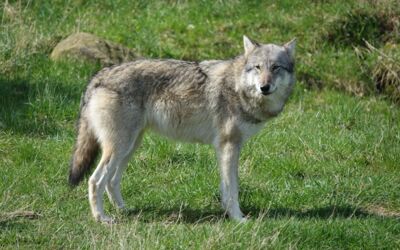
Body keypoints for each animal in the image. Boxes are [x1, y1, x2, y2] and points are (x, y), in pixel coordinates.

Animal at [69, 35, 296, 223]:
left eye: (276, 68)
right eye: (257, 67)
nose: (264, 87)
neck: (238, 87)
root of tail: (98, 76)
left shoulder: (225, 148)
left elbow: (225, 187)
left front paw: (229, 214)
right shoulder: (229, 145)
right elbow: (232, 188)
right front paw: (238, 219)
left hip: (129, 147)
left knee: (111, 181)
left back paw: (124, 210)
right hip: (120, 148)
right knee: (95, 180)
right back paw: (101, 218)